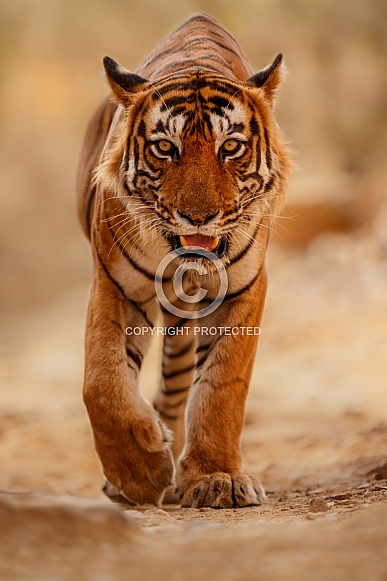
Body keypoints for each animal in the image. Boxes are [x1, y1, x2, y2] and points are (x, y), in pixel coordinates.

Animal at [77, 11, 292, 506]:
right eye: (164, 148)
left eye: (230, 147)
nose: (199, 216)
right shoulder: (114, 284)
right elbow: (102, 382)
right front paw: (138, 472)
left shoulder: (243, 289)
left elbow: (222, 386)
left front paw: (217, 478)